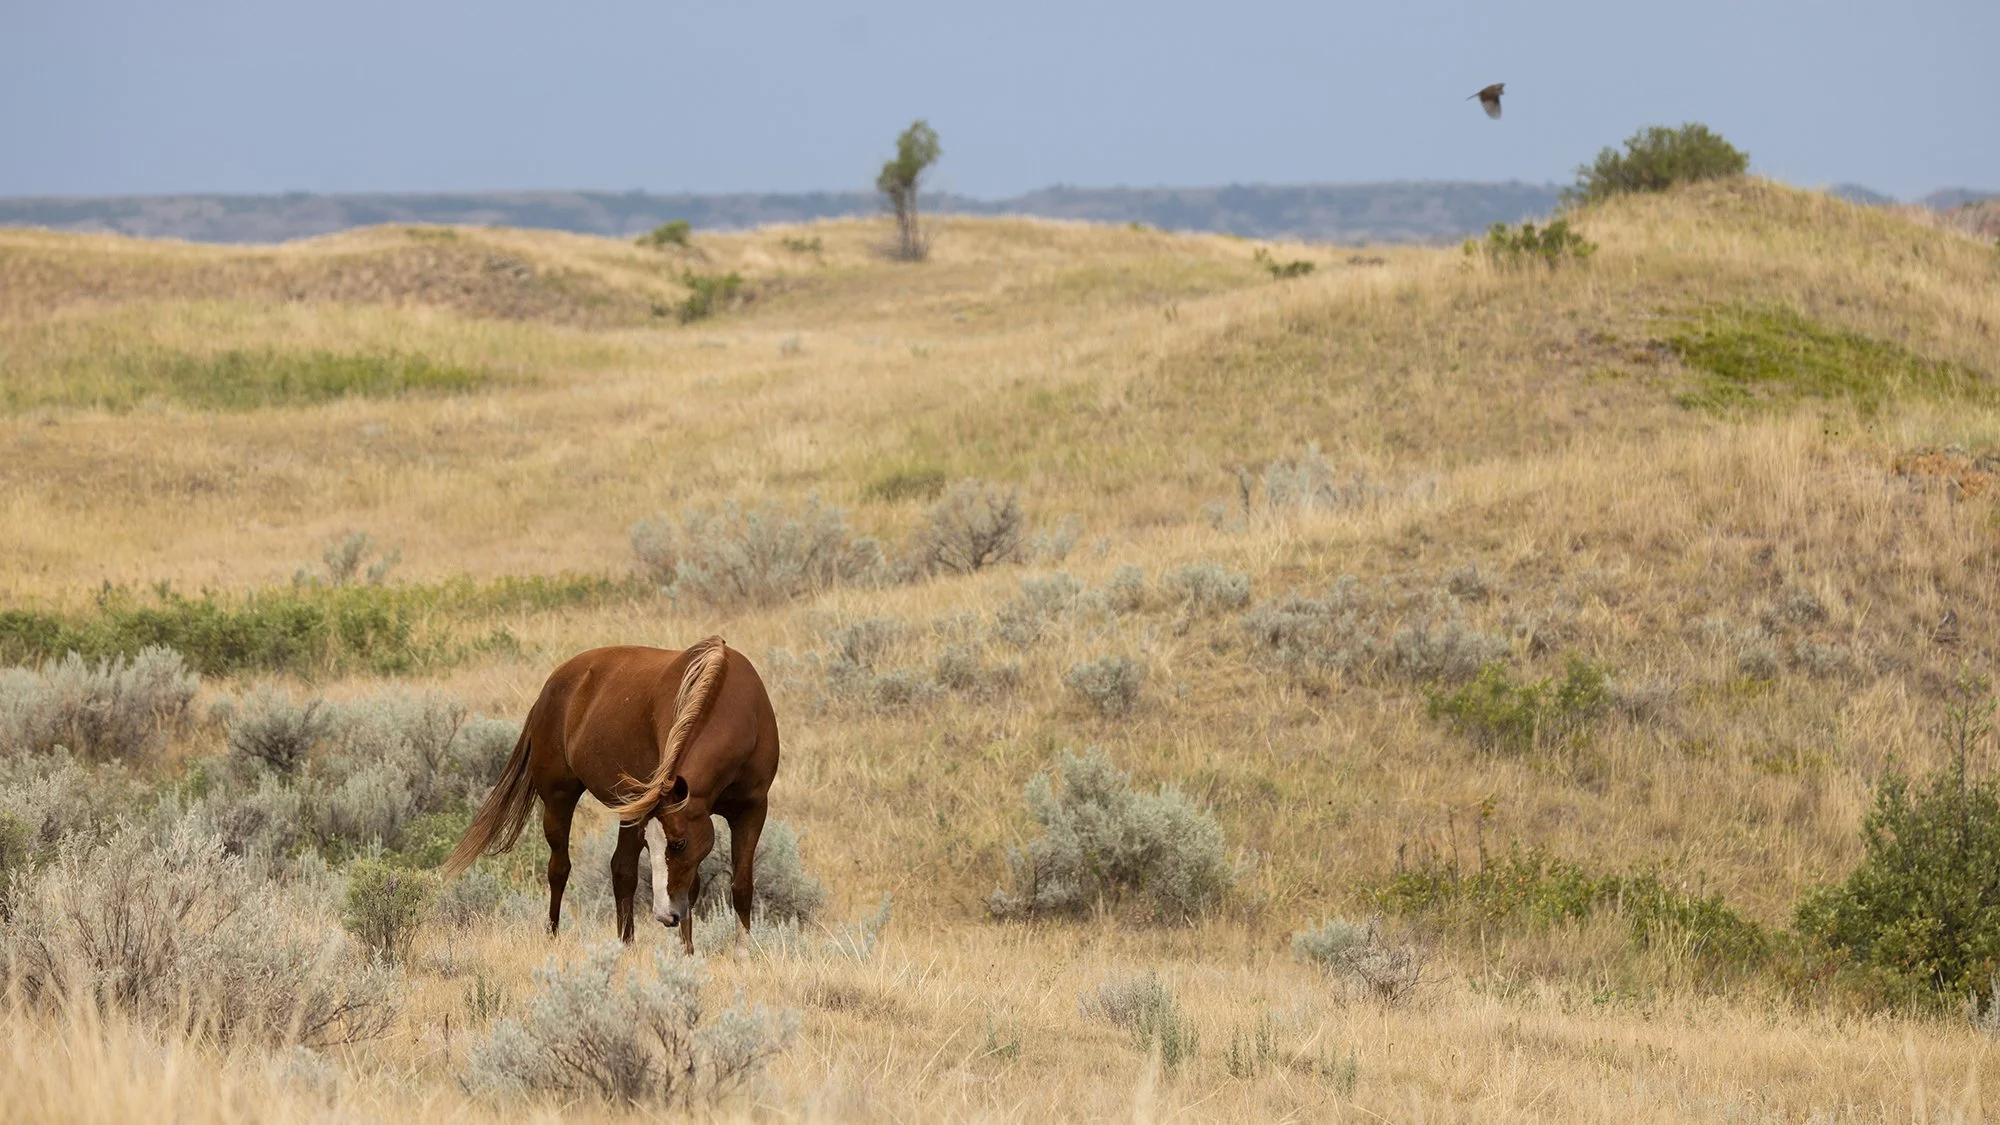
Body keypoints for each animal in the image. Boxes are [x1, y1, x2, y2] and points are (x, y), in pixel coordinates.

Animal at [442, 637, 781, 954]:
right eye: (651, 843)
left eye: (679, 843)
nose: (665, 915)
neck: (731, 703)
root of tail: (550, 688)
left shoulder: (751, 810)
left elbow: (739, 886)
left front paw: (732, 953)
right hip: (559, 799)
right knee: (562, 869)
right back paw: (556, 935)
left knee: (622, 871)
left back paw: (626, 942)